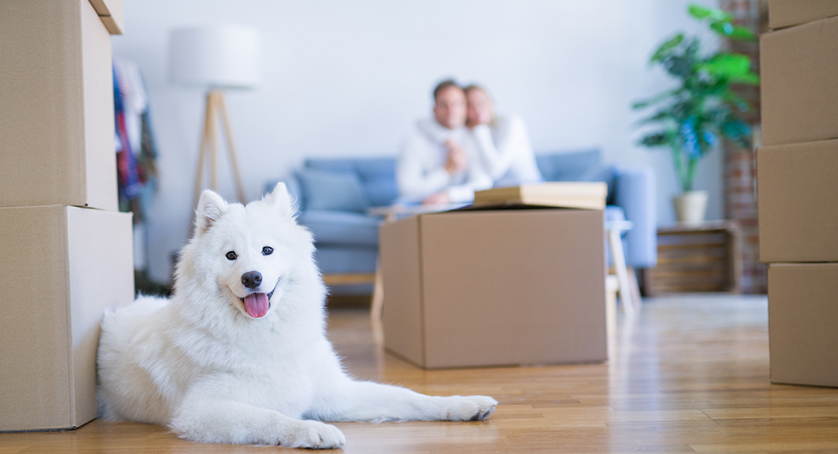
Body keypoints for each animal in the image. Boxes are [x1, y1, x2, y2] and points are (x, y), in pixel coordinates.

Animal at [97, 183, 498, 448]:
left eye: (267, 250)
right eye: (231, 256)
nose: (252, 278)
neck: (266, 334)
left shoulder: (338, 394)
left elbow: (410, 397)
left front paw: (464, 404)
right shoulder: (201, 412)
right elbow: (270, 416)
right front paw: (311, 431)